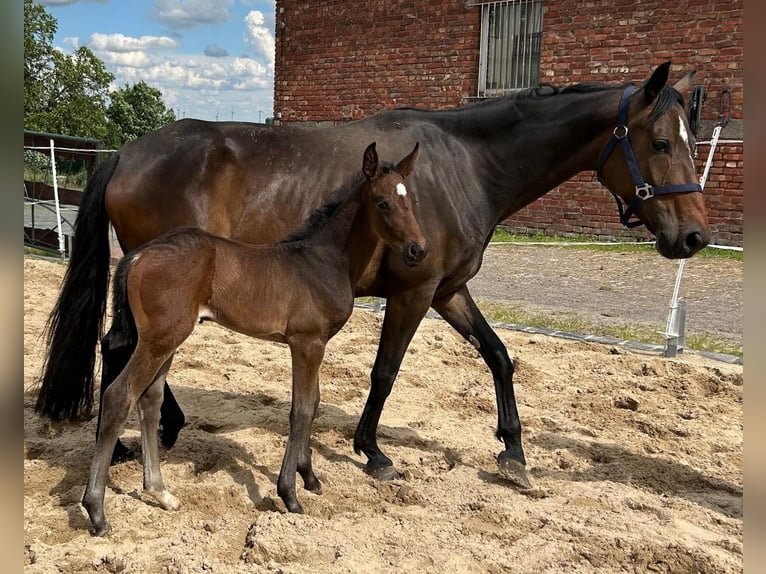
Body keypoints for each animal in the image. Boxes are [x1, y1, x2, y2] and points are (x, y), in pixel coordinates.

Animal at [85, 142, 432, 536]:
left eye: (411, 201)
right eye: (382, 202)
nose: (419, 249)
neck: (324, 260)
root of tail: (138, 255)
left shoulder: (316, 345)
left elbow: (313, 404)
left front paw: (310, 479)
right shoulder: (306, 343)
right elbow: (301, 410)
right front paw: (290, 495)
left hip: (167, 340)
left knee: (150, 400)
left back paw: (160, 492)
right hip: (158, 341)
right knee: (119, 397)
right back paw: (96, 511)